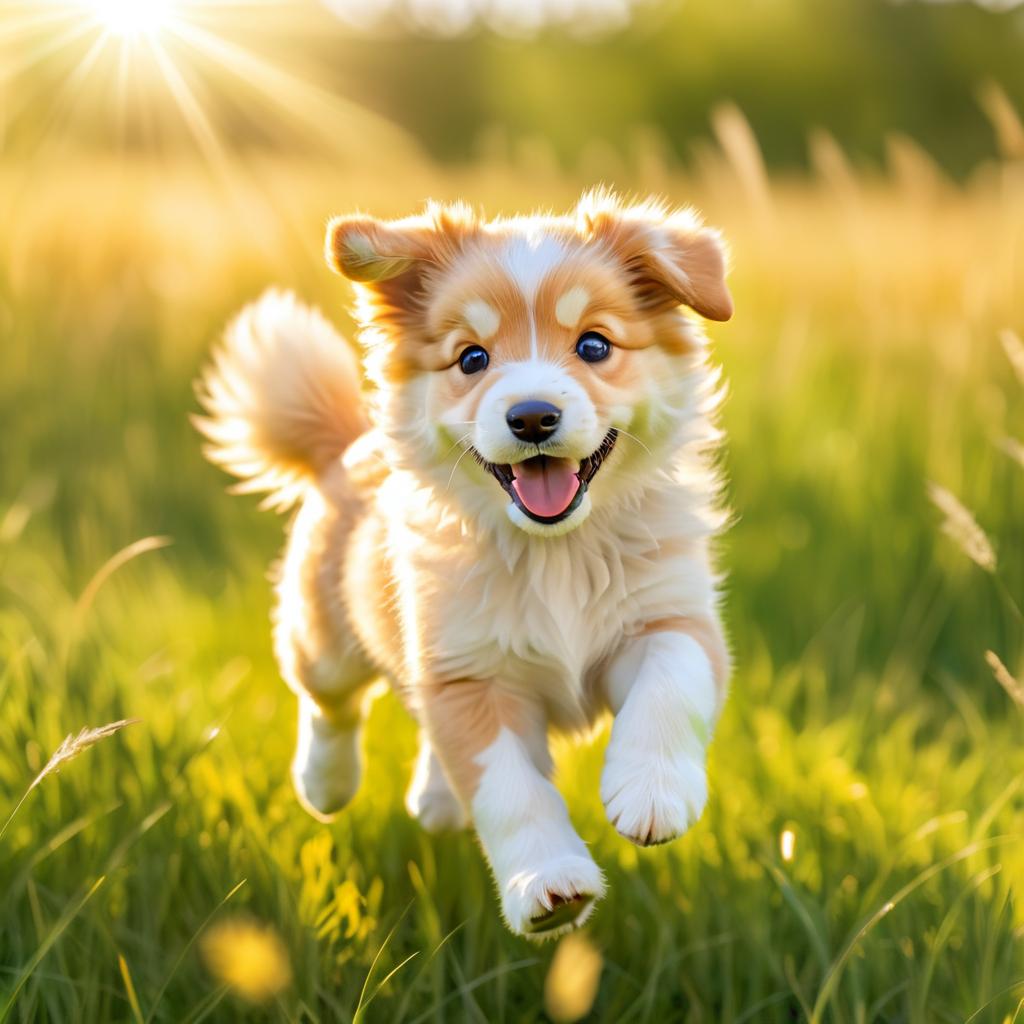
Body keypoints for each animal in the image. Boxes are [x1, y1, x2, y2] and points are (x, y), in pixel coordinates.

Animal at [193, 188, 737, 937]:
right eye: (472, 358)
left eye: (594, 345)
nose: (532, 417)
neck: (555, 552)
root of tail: (345, 445)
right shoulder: (468, 674)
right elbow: (509, 789)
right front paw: (550, 886)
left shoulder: (670, 615)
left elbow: (671, 683)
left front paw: (653, 792)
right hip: (325, 632)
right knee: (329, 701)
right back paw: (325, 783)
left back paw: (435, 800)